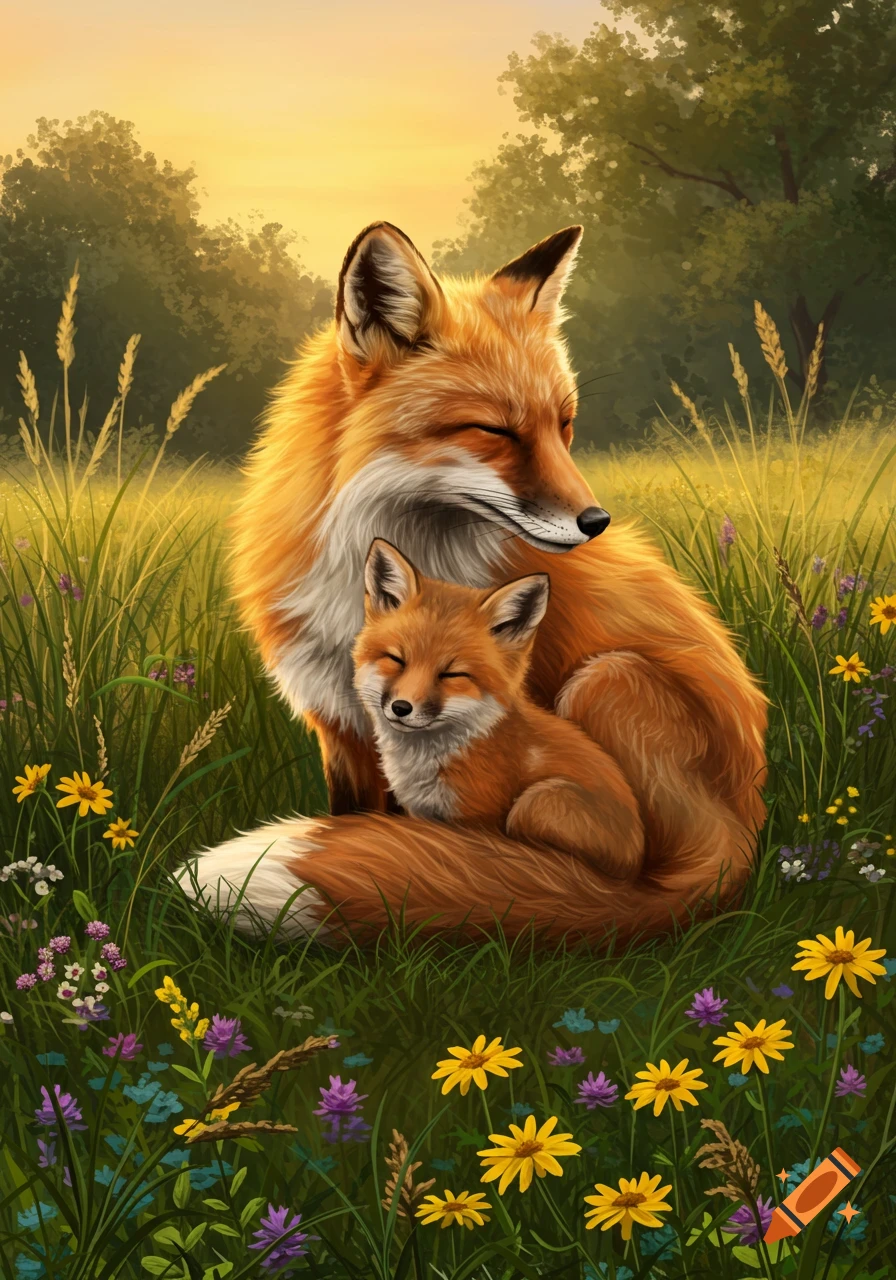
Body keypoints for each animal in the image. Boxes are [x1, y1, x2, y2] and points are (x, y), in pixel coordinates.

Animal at [353, 539, 645, 880]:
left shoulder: (477, 819)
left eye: (452, 674)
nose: (401, 708)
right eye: (396, 659)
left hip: (536, 803)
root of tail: (638, 864)